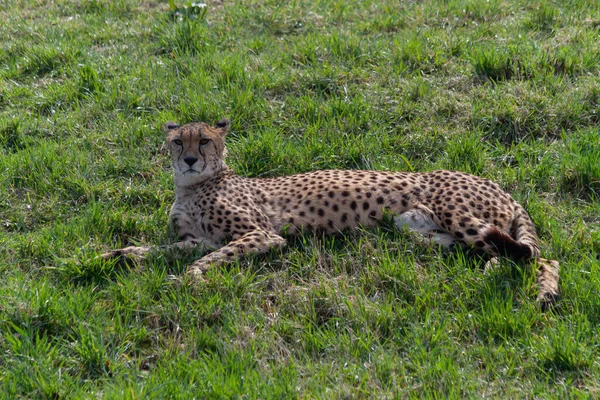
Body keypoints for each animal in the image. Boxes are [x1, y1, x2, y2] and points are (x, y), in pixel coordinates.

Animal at [102, 119, 556, 306]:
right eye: (179, 141)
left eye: (205, 141)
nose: (191, 159)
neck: (191, 186)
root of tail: (497, 184)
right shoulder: (194, 239)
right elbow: (161, 250)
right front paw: (115, 256)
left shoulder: (261, 234)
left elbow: (212, 257)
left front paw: (190, 279)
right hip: (422, 231)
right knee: (508, 254)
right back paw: (500, 274)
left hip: (456, 214)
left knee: (539, 257)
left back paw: (544, 294)